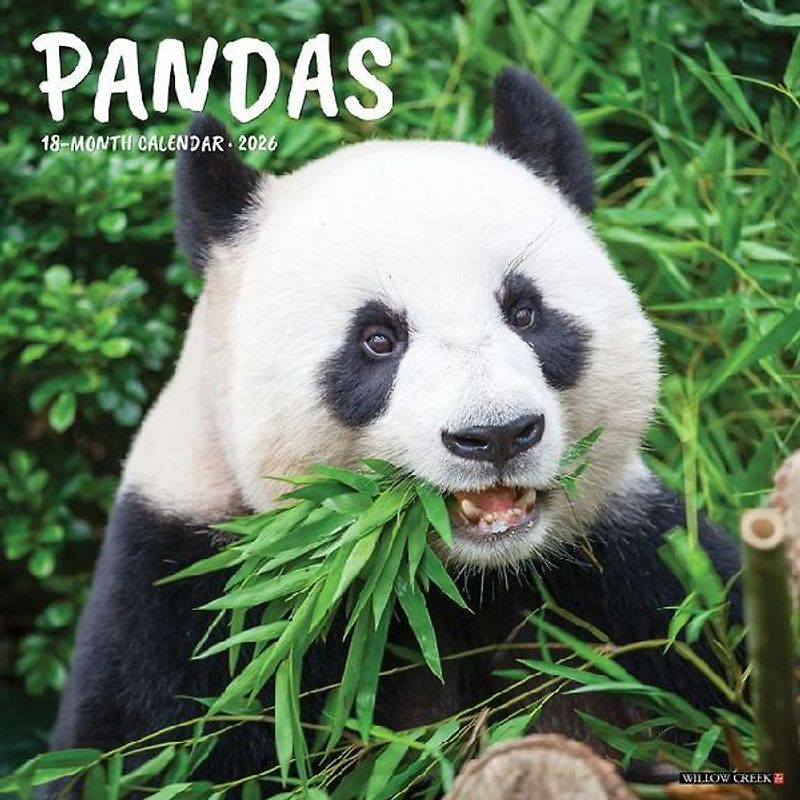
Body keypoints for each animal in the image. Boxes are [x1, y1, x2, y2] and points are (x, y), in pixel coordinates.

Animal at [50, 69, 743, 791]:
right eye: (378, 339)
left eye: (525, 312)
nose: (496, 435)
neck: (450, 580)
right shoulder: (191, 589)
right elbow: (141, 747)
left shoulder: (633, 567)